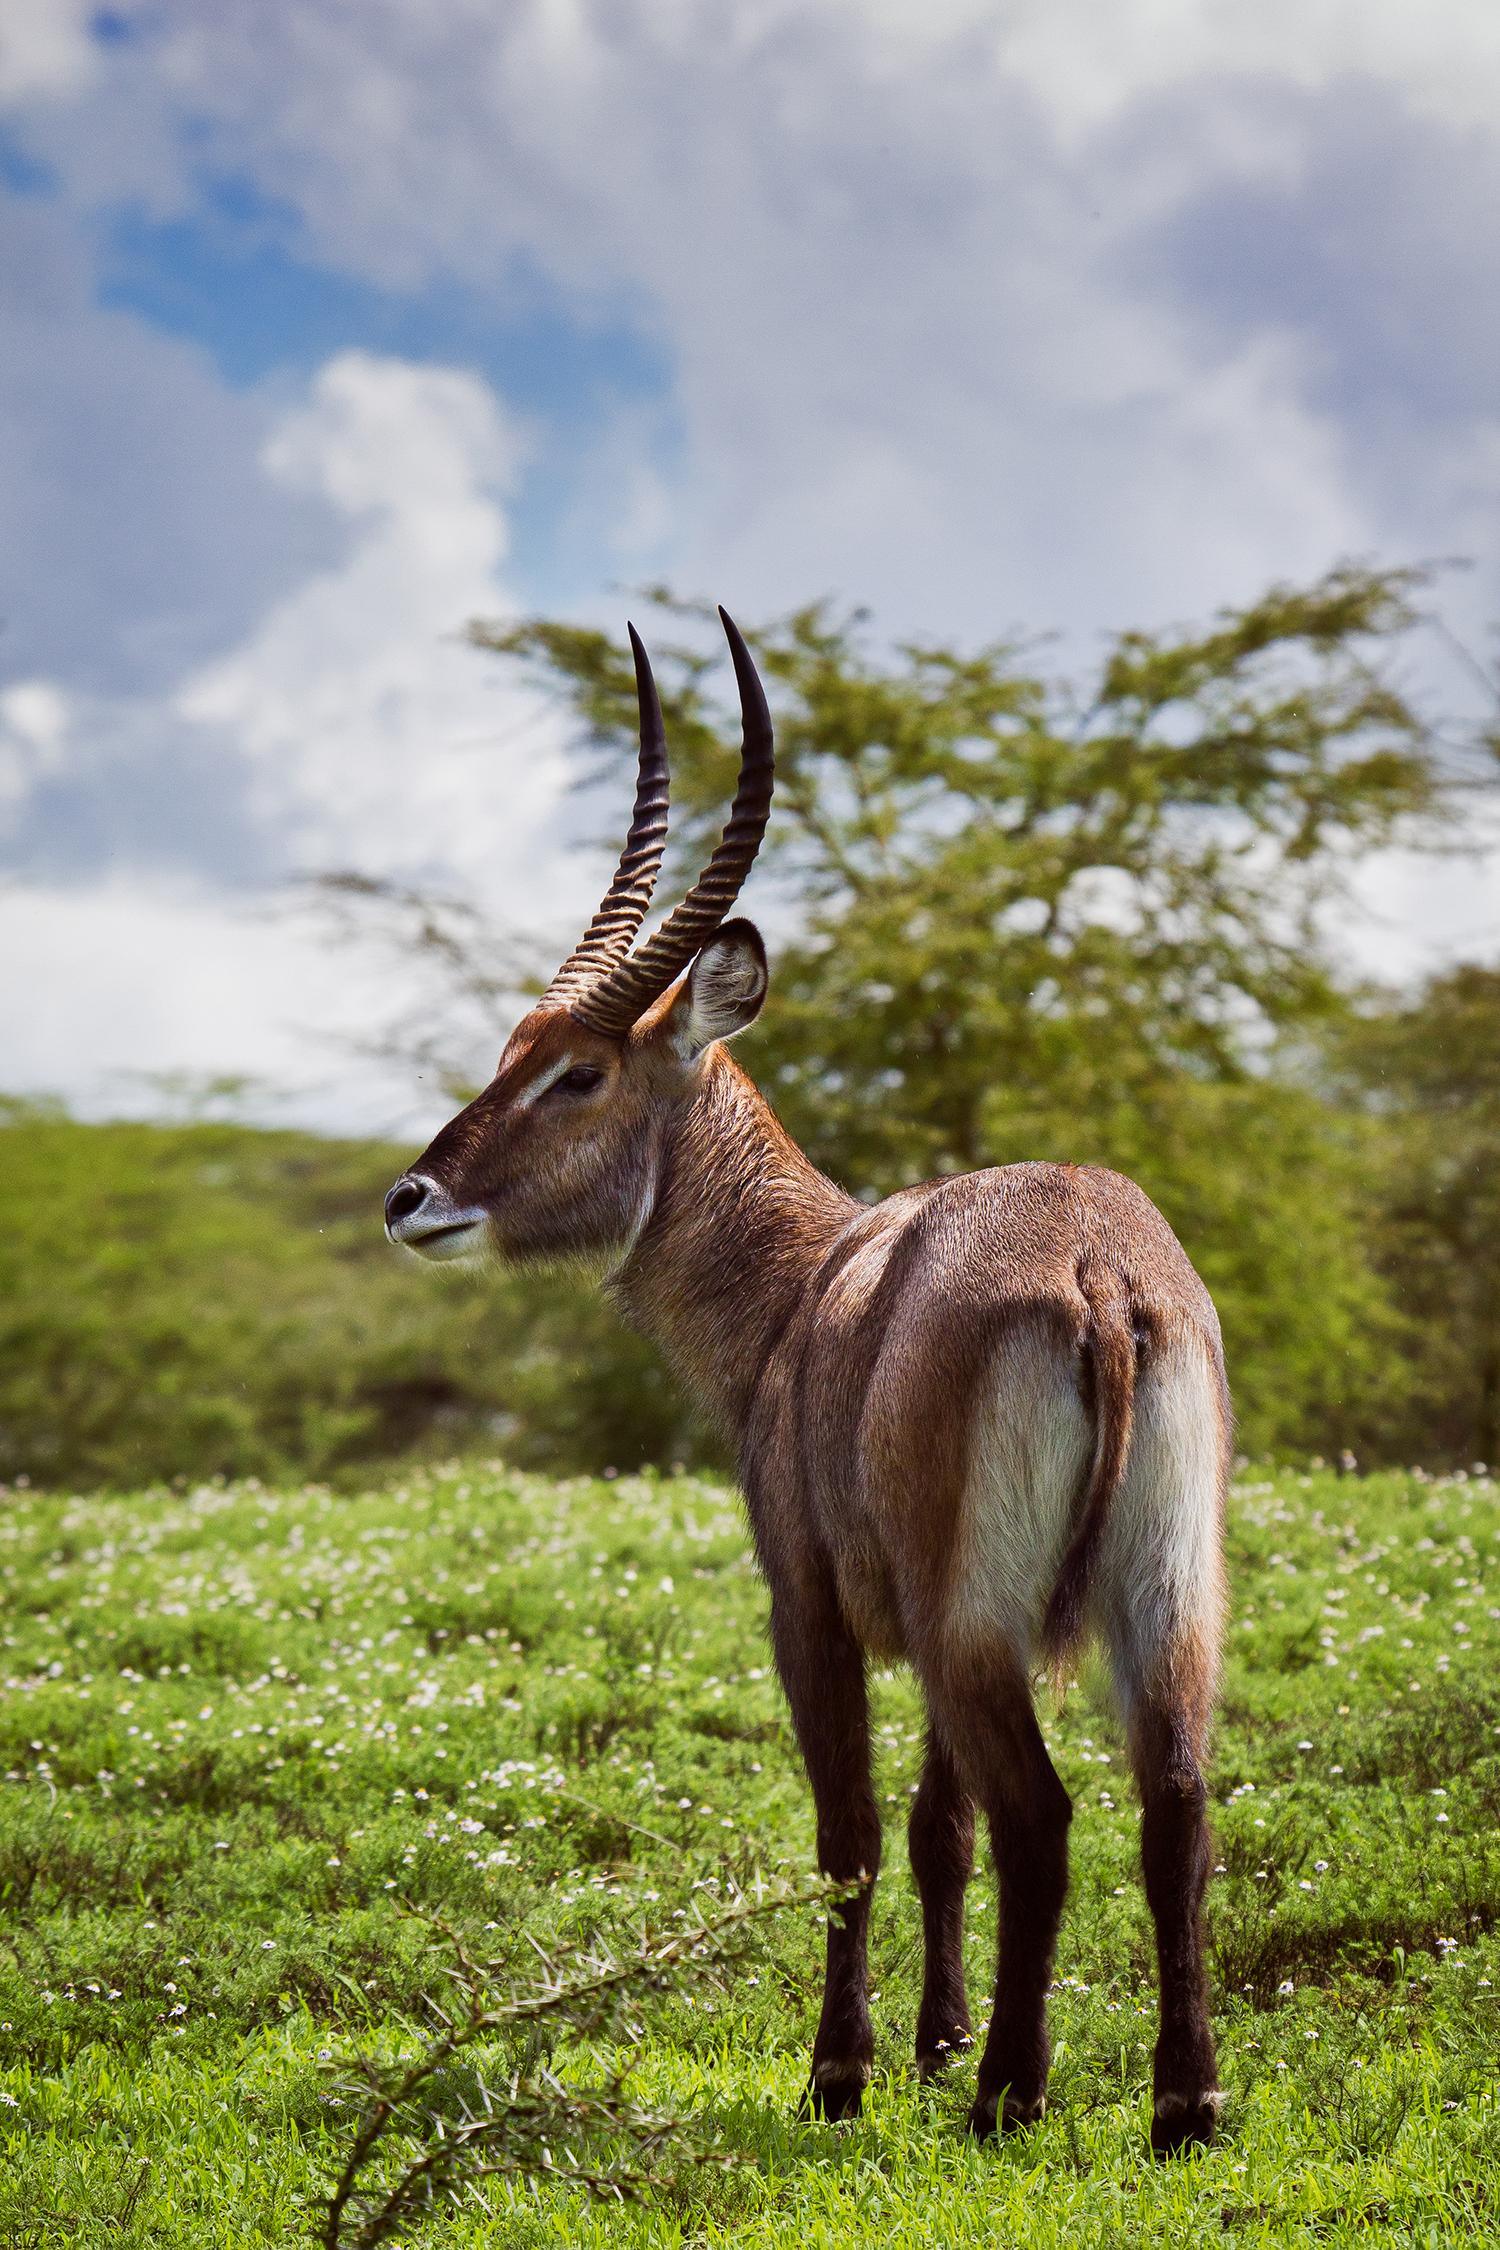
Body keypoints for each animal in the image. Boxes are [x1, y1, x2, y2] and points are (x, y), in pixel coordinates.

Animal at [386, 607, 1232, 2151]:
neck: (805, 1281)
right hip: (1167, 1597)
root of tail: (1097, 1267)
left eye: (576, 1071)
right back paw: (1180, 2105)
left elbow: (853, 1834)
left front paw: (848, 2073)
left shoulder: (810, 1604)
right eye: (511, 1051)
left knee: (1044, 1818)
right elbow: (937, 1829)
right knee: (1175, 1804)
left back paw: (1013, 2098)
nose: (409, 1199)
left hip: (971, 1619)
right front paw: (933, 2041)